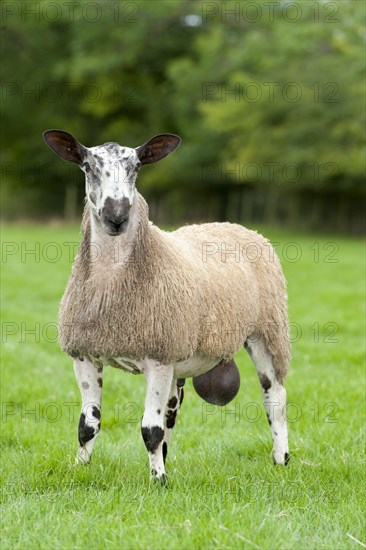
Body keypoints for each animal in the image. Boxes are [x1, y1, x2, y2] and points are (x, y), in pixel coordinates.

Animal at [43, 129, 290, 484]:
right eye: (88, 166)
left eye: (136, 167)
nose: (116, 217)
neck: (112, 287)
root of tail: (233, 224)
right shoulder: (85, 355)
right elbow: (88, 425)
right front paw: (80, 469)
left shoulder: (157, 358)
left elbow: (150, 428)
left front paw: (157, 481)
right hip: (181, 359)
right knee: (172, 413)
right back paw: (166, 459)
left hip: (266, 332)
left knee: (275, 399)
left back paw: (281, 459)